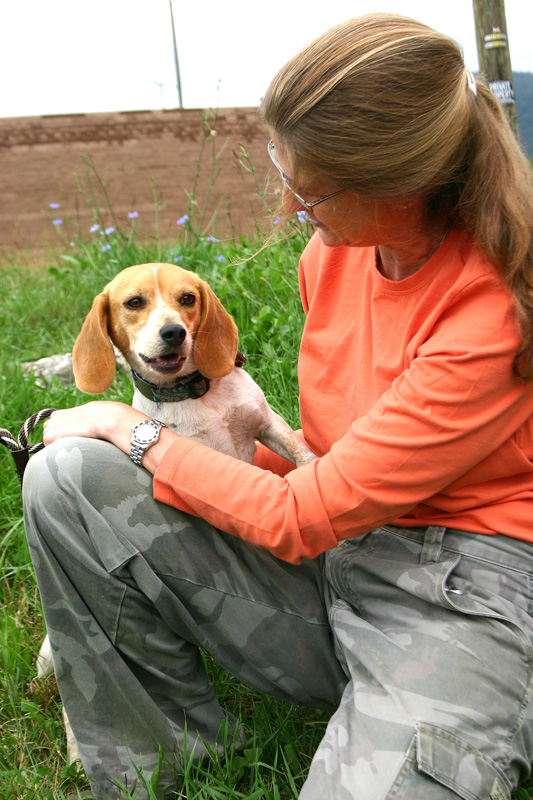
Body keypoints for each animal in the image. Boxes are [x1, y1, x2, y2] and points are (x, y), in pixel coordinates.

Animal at [37, 260, 316, 764]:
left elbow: (303, 457)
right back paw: (75, 751)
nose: (173, 332)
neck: (194, 393)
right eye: (134, 302)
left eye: (187, 298)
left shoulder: (268, 425)